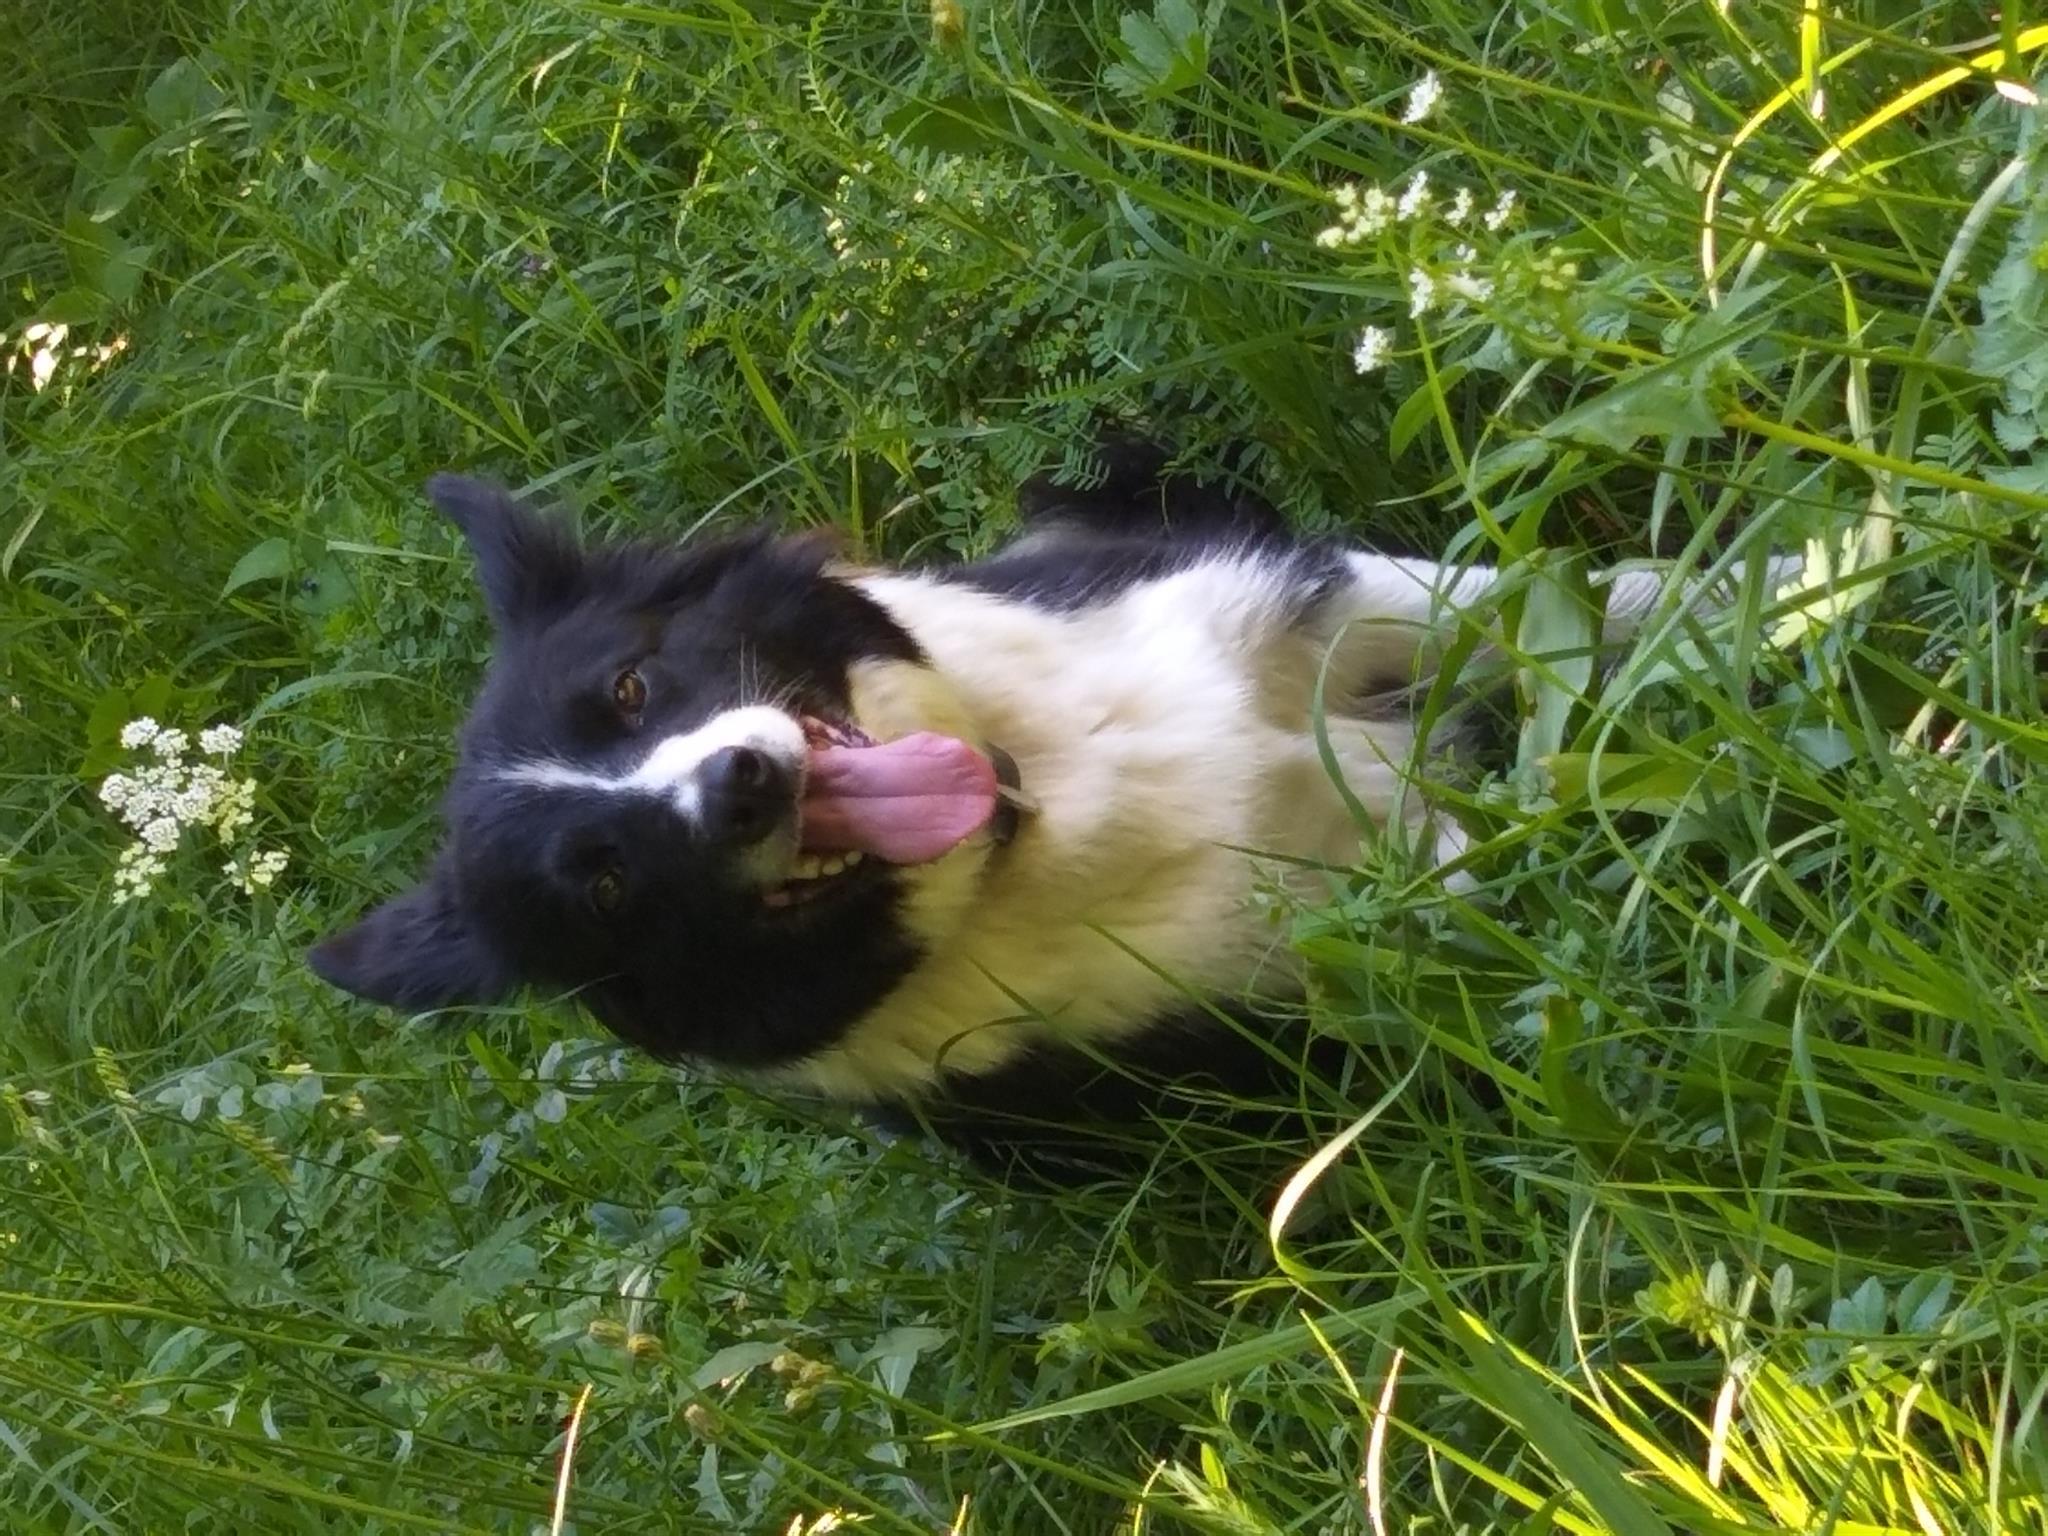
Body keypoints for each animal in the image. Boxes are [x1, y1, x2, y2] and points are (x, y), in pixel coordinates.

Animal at [310, 444, 1780, 1176]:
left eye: (627, 685)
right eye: (606, 881)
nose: (740, 786)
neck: (1039, 797)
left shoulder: (1298, 601)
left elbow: (1554, 598)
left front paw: (1777, 591)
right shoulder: (1320, 953)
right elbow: (1526, 893)